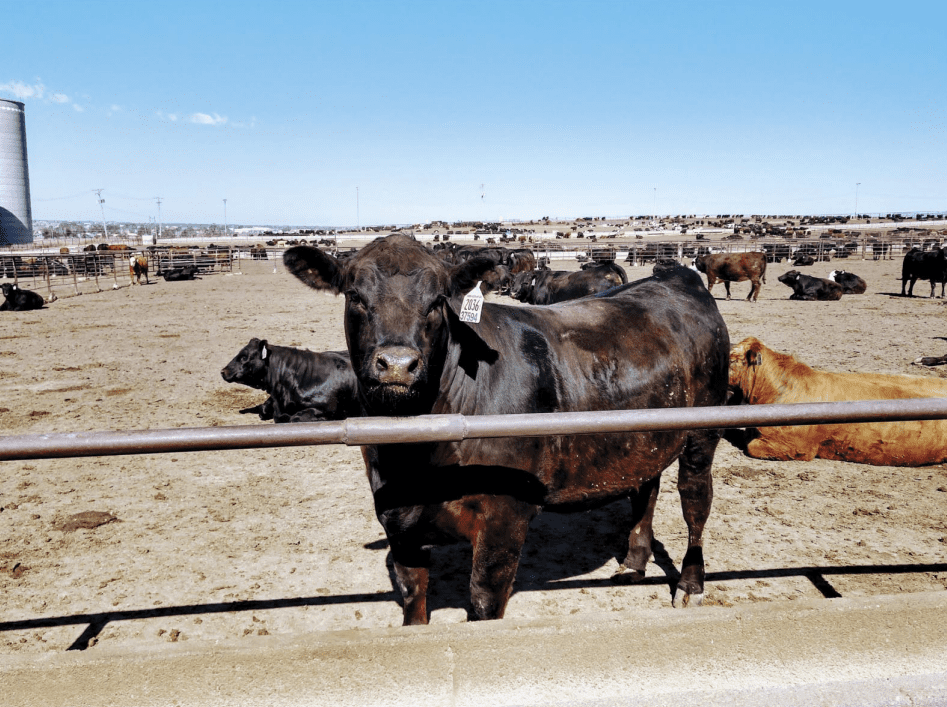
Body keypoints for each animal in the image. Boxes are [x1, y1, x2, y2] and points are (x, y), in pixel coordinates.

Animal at [286, 236, 728, 624]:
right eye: (355, 296)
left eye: (438, 301)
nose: (397, 364)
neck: (414, 455)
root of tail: (674, 276)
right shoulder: (397, 521)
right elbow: (415, 601)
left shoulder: (503, 520)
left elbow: (484, 601)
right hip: (644, 438)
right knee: (645, 491)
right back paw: (633, 564)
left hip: (702, 435)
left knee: (695, 503)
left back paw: (690, 585)